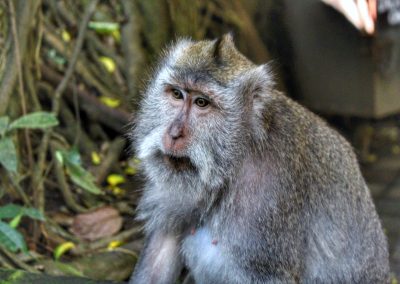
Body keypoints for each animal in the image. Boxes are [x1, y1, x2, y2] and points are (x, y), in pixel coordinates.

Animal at [129, 33, 390, 284]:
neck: (236, 158)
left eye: (202, 102)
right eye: (176, 94)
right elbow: (160, 254)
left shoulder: (269, 195)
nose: (174, 133)